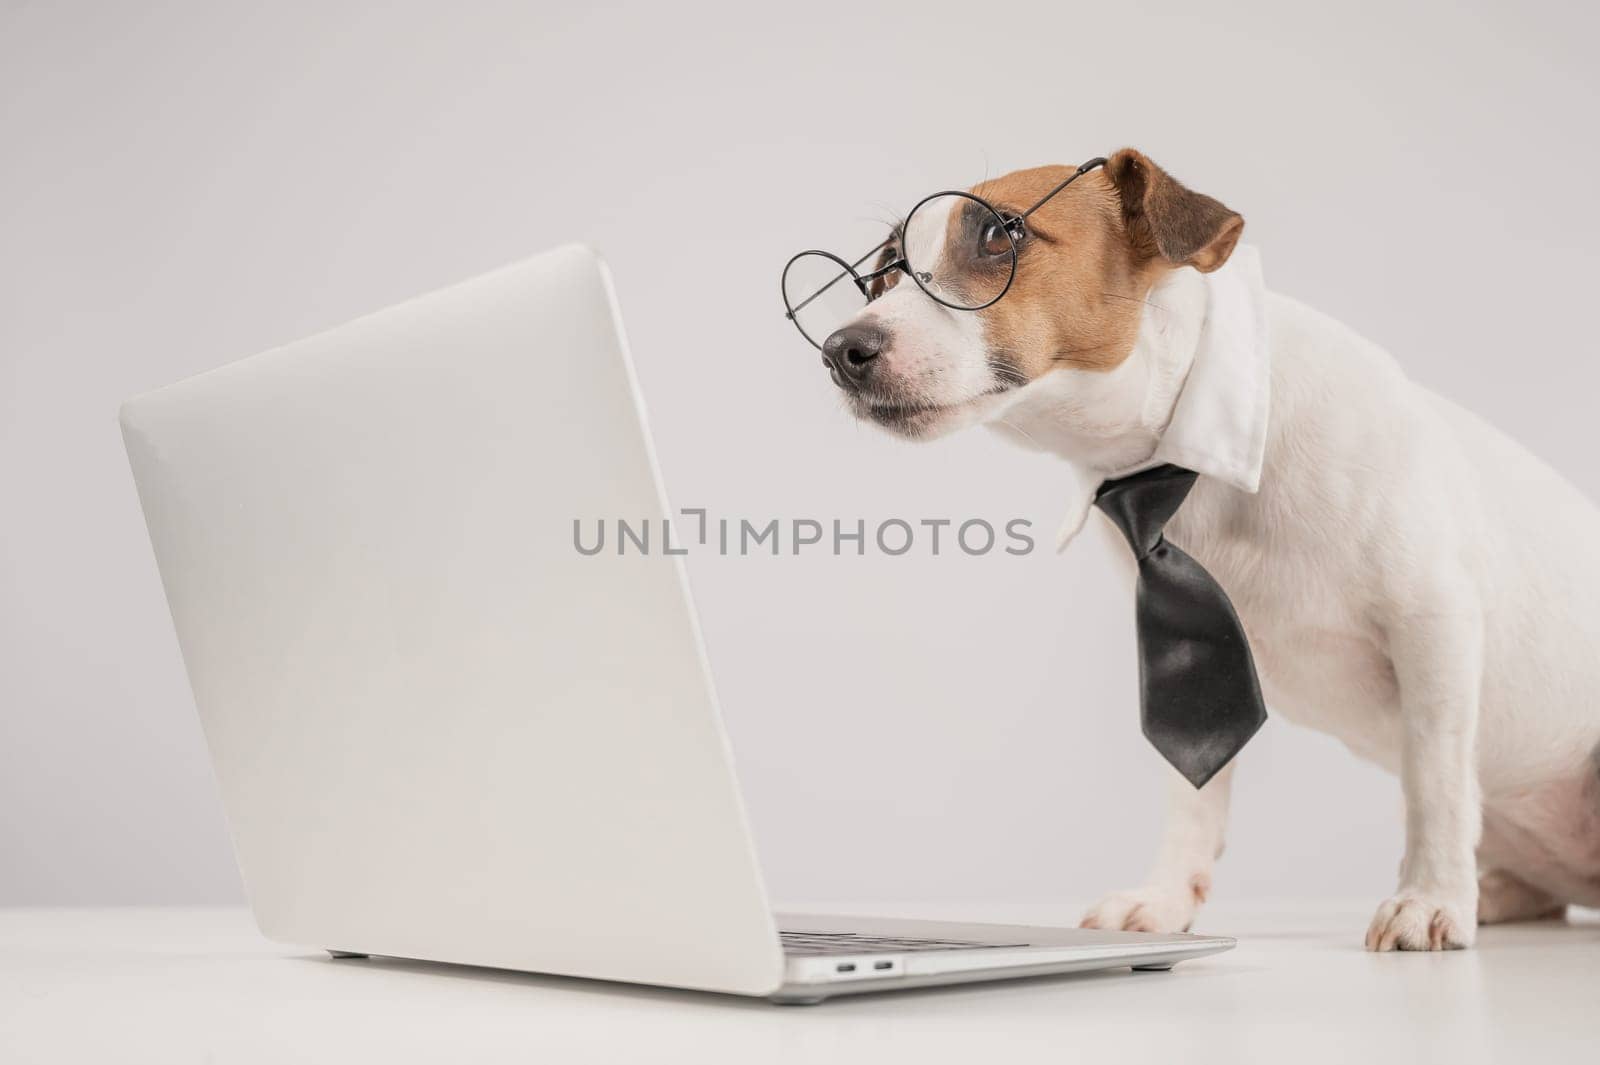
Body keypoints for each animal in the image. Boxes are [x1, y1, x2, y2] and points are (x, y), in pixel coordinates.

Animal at [819, 147, 1600, 946]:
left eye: (998, 235)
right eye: (882, 270)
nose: (841, 350)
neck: (1169, 450)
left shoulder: (1433, 621)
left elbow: (1434, 777)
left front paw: (1431, 898)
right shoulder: (1193, 646)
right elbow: (1192, 787)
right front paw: (1166, 897)